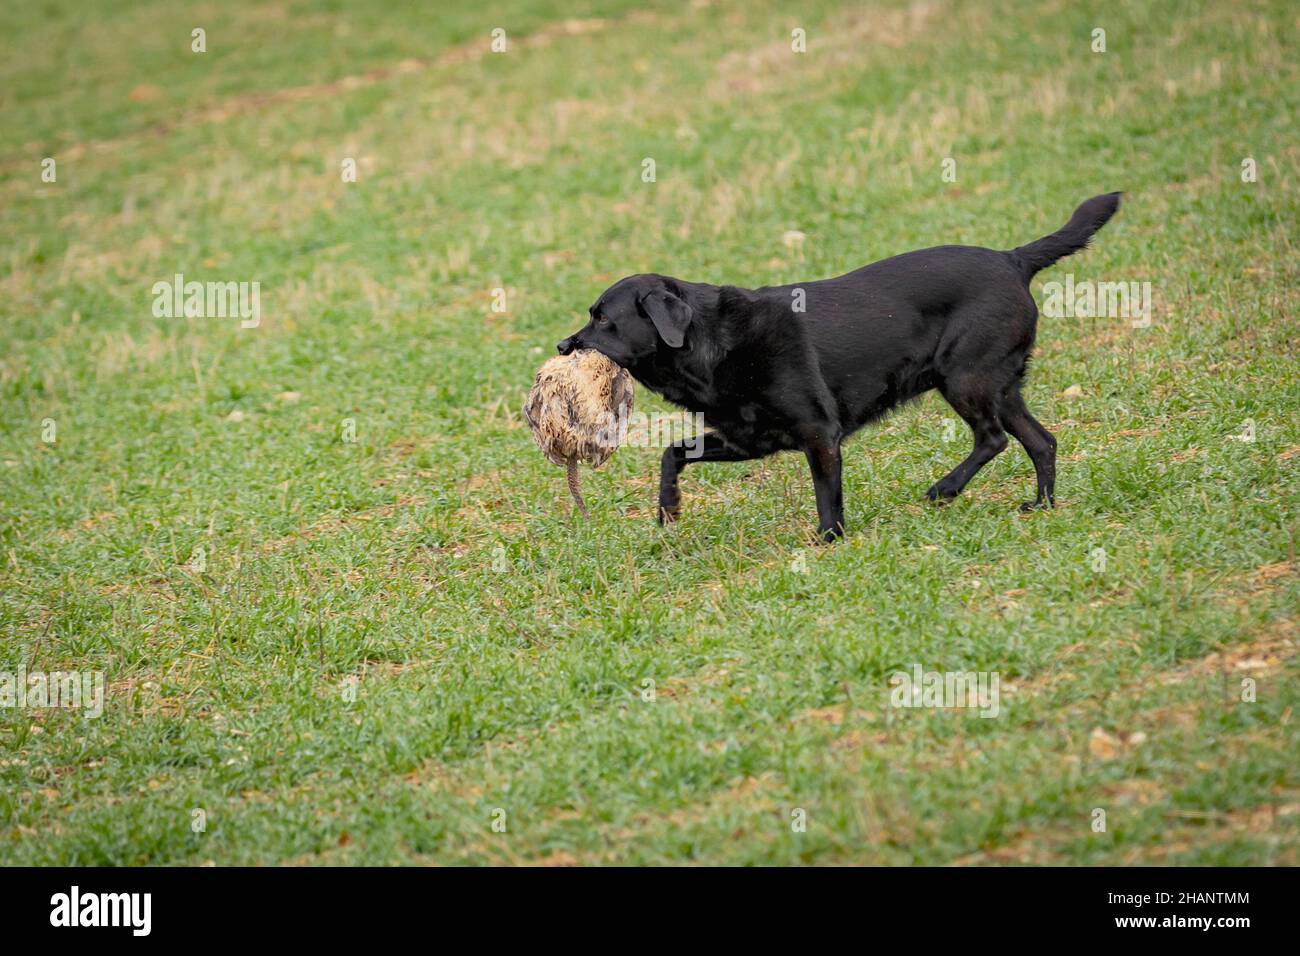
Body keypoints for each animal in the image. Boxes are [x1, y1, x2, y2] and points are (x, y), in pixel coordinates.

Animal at [556, 195, 1118, 541]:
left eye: (603, 318)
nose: (563, 345)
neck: (712, 344)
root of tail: (1012, 258)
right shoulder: (747, 439)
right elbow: (672, 453)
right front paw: (668, 509)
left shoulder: (819, 433)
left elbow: (828, 498)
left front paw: (829, 542)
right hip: (1000, 386)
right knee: (1042, 442)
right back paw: (1041, 506)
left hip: (965, 379)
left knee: (994, 438)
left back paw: (945, 488)